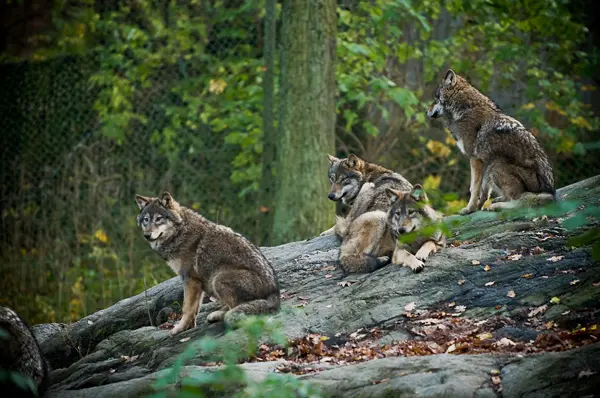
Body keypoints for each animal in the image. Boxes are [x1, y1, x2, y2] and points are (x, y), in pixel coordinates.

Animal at [136, 191, 282, 334]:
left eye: (158, 219)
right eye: (146, 220)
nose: (147, 235)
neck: (180, 232)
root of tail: (275, 293)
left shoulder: (190, 279)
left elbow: (186, 309)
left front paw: (178, 329)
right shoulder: (197, 284)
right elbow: (194, 310)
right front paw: (190, 327)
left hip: (217, 279)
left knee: (237, 308)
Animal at [424, 68, 556, 215]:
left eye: (436, 98)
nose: (426, 111)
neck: (464, 110)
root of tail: (550, 191)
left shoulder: (475, 159)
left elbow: (474, 189)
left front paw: (469, 209)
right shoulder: (483, 160)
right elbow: (483, 191)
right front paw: (478, 207)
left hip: (495, 164)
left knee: (522, 200)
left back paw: (497, 206)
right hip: (491, 166)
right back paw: (499, 200)